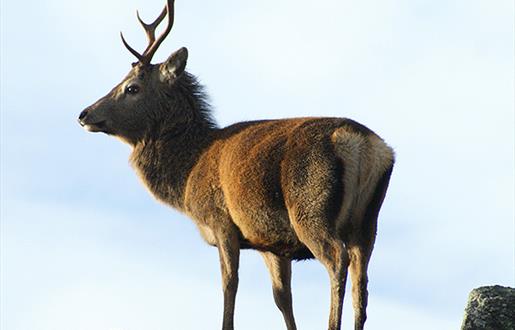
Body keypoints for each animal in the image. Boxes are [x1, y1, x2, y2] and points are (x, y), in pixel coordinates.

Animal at [77, 1, 396, 328]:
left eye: (132, 88)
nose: (84, 114)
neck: (188, 172)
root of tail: (363, 143)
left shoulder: (221, 220)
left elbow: (229, 283)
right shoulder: (270, 241)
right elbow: (282, 298)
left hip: (312, 207)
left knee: (336, 259)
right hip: (368, 221)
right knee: (361, 280)